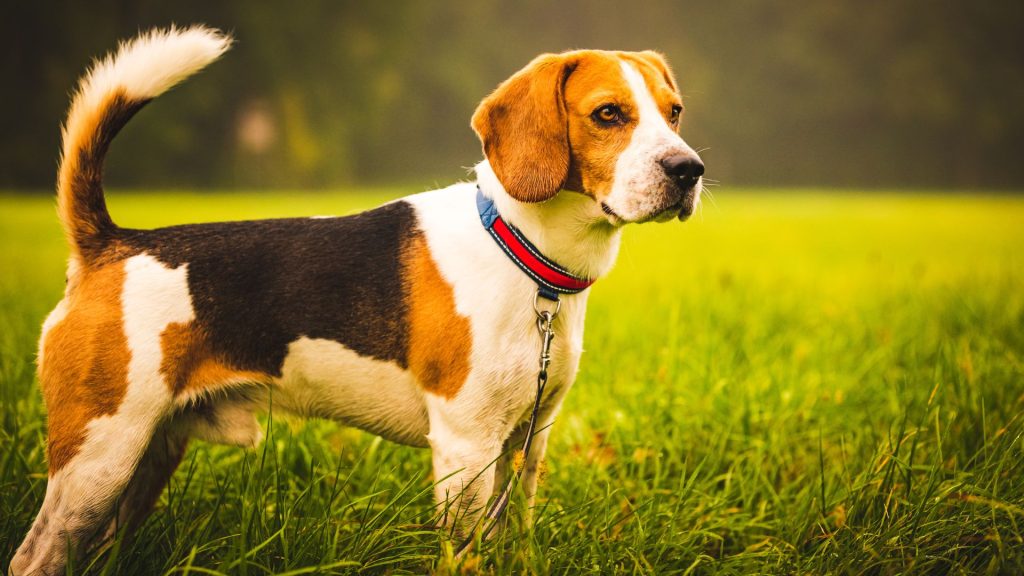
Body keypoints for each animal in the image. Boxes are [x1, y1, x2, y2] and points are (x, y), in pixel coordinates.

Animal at [12, 25, 704, 569]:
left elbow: (517, 540)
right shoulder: (466, 446)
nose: (689, 170)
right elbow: (465, 553)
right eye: (608, 114)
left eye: (673, 112)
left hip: (145, 459)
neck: (527, 255)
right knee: (35, 556)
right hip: (99, 454)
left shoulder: (528, 443)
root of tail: (110, 242)